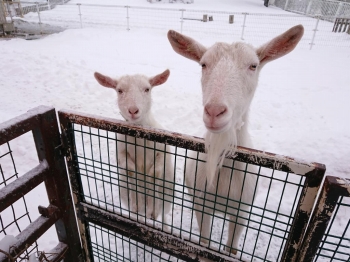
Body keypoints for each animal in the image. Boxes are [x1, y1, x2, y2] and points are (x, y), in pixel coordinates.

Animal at [93, 68, 174, 224]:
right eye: (119, 90)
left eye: (147, 89)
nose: (133, 110)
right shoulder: (121, 151)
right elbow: (130, 170)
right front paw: (138, 203)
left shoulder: (163, 151)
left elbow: (155, 173)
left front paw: (152, 209)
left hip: (167, 205)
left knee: (164, 218)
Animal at [167, 25, 304, 255]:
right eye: (203, 64)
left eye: (253, 65)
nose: (214, 112)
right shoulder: (201, 204)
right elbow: (204, 243)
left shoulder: (242, 211)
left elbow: (231, 249)